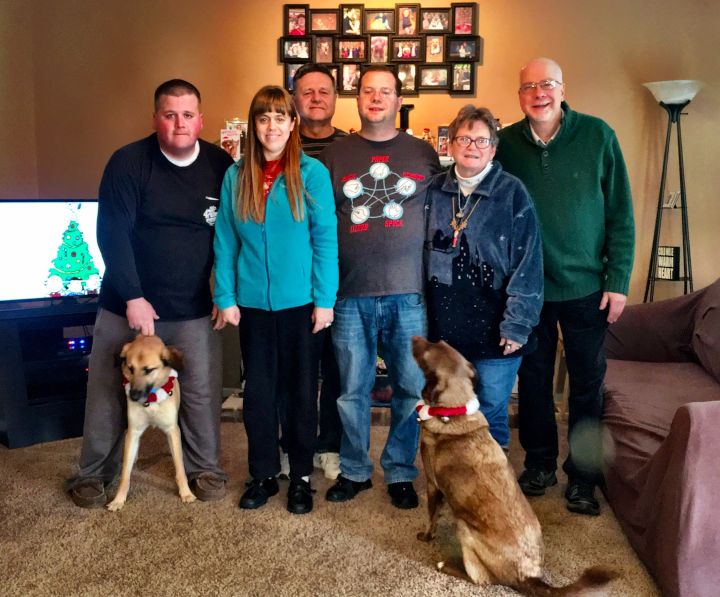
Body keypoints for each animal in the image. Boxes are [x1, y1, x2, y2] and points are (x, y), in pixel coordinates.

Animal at [106, 334, 195, 511]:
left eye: (148, 370)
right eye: (130, 368)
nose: (133, 396)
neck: (152, 398)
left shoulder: (172, 430)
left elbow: (180, 467)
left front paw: (186, 492)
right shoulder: (133, 431)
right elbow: (125, 474)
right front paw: (118, 499)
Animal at [411, 336, 616, 595]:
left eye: (428, 350)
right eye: (438, 342)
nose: (414, 337)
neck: (455, 413)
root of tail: (528, 577)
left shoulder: (432, 485)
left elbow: (431, 517)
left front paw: (426, 536)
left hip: (465, 529)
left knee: (480, 579)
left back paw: (445, 565)